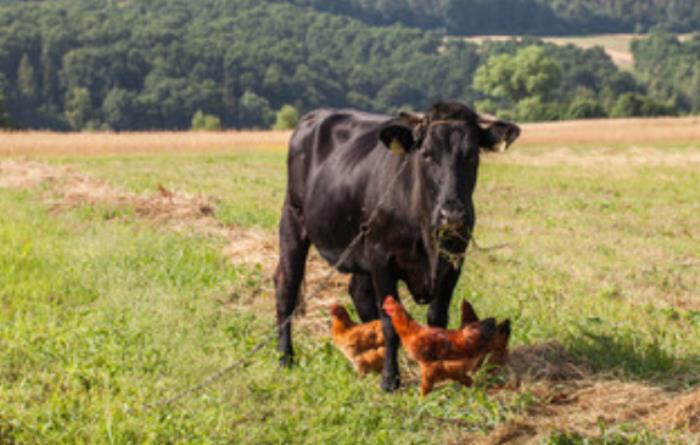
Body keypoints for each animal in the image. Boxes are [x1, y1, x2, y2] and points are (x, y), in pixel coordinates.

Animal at [274, 100, 520, 388]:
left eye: (471, 154)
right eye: (427, 154)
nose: (452, 215)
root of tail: (315, 115)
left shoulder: (454, 260)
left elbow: (437, 318)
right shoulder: (381, 258)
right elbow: (390, 323)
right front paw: (390, 380)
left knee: (358, 293)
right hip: (293, 220)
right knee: (286, 286)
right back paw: (285, 357)